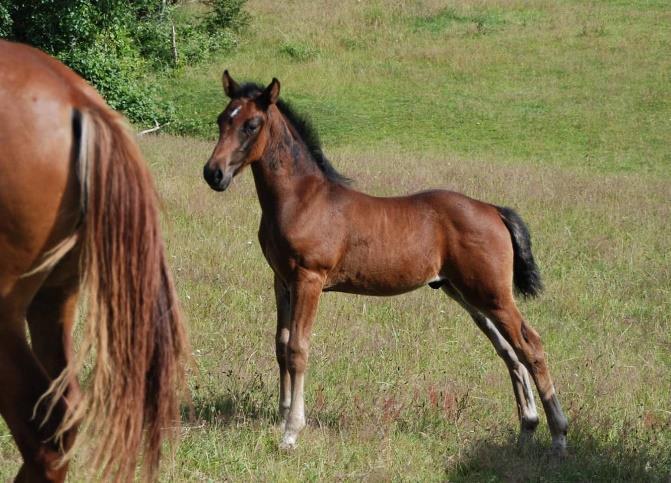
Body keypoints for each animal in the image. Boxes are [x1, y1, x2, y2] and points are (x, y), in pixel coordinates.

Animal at [203, 71, 568, 454]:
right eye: (221, 119)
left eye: (251, 125)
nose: (213, 174)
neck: (301, 199)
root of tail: (494, 210)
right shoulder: (282, 281)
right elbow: (280, 344)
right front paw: (281, 416)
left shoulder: (309, 279)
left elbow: (297, 349)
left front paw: (291, 432)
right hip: (467, 295)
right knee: (509, 351)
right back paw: (527, 428)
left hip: (492, 294)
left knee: (531, 345)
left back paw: (559, 436)